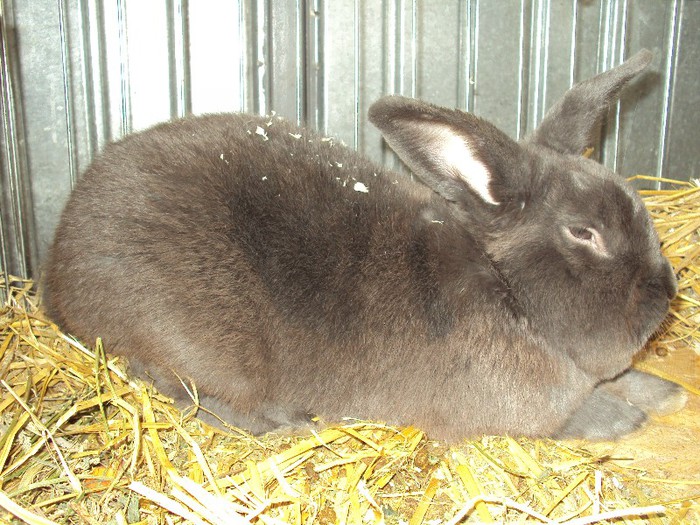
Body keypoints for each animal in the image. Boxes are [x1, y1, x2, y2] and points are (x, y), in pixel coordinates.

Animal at [45, 50, 688, 442]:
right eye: (583, 232)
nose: (667, 290)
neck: (505, 290)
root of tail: (56, 270)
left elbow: (622, 378)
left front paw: (669, 393)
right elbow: (583, 410)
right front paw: (627, 418)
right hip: (193, 342)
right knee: (179, 385)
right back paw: (287, 421)